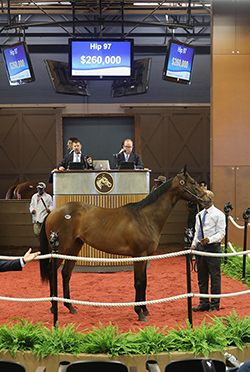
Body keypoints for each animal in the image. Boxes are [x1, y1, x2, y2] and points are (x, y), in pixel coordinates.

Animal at [39, 164, 211, 322]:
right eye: (193, 182)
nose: (208, 199)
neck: (145, 217)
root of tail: (53, 212)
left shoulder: (146, 256)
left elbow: (145, 282)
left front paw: (145, 309)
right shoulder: (138, 255)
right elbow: (138, 282)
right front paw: (140, 313)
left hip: (75, 247)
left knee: (66, 273)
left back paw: (70, 306)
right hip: (62, 248)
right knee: (52, 271)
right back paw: (53, 306)